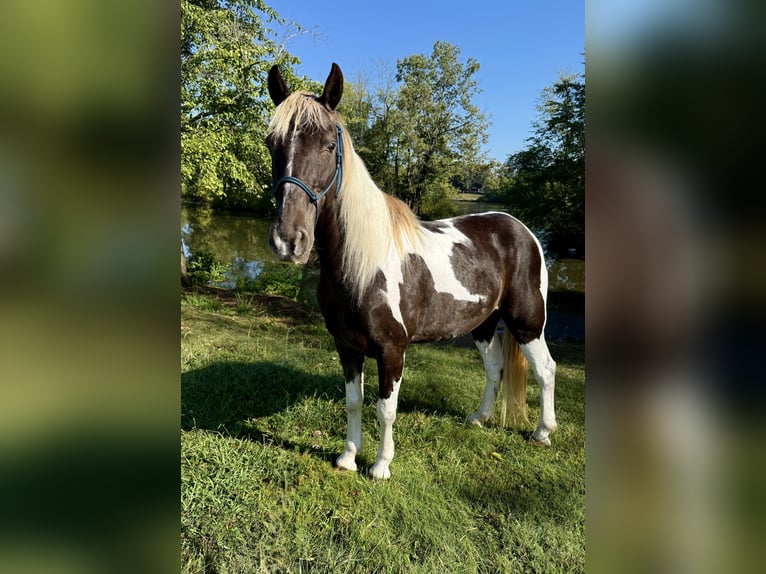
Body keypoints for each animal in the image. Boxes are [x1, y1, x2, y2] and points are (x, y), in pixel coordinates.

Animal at [266, 63, 557, 479]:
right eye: (272, 144)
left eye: (328, 146)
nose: (289, 241)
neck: (361, 267)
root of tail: (521, 230)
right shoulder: (346, 346)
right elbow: (354, 402)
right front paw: (347, 459)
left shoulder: (392, 350)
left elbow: (385, 409)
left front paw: (380, 466)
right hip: (483, 325)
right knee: (495, 369)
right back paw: (478, 418)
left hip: (528, 322)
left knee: (545, 370)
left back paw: (542, 432)